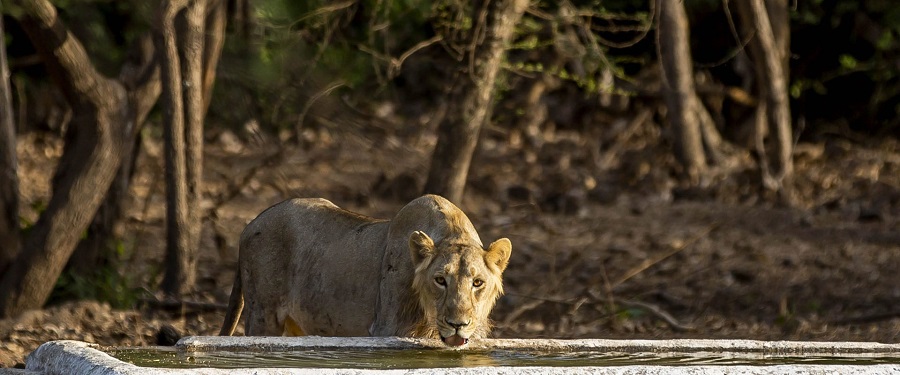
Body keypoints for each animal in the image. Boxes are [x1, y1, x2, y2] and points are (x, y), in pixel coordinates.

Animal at [219, 195, 510, 348]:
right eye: (440, 280)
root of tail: (251, 223)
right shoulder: (386, 329)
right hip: (262, 315)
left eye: (477, 283)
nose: (458, 324)